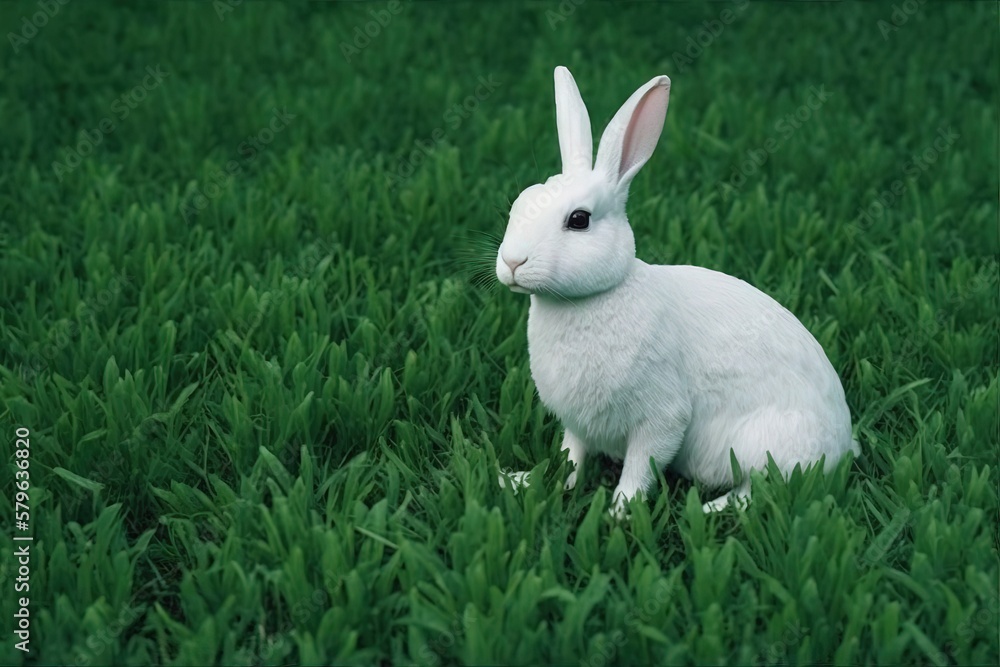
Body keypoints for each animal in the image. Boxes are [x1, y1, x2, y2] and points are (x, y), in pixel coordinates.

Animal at [496, 66, 856, 516]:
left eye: (579, 220)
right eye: (519, 203)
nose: (512, 262)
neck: (593, 298)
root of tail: (844, 445)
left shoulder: (661, 418)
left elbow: (640, 467)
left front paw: (620, 512)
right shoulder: (576, 424)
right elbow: (571, 457)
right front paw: (534, 483)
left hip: (765, 447)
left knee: (758, 491)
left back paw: (705, 510)